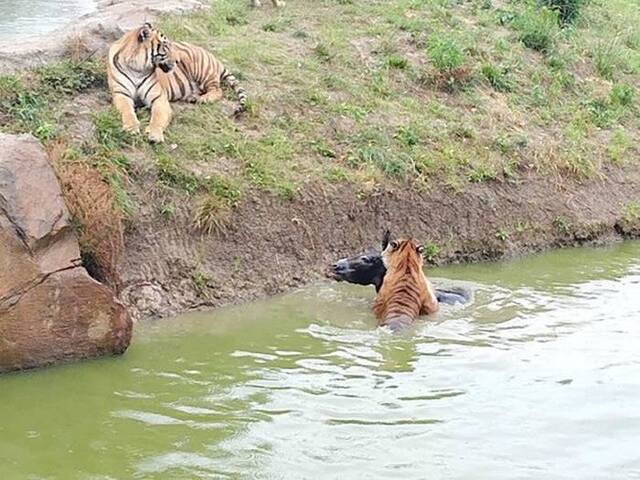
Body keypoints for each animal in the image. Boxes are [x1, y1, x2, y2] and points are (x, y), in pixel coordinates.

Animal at [106, 22, 246, 142]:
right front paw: (131, 128)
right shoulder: (121, 94)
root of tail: (213, 56)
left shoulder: (159, 98)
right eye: (166, 46)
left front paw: (155, 135)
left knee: (217, 90)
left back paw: (202, 99)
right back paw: (193, 97)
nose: (178, 60)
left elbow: (157, 117)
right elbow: (127, 111)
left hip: (202, 71)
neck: (137, 68)